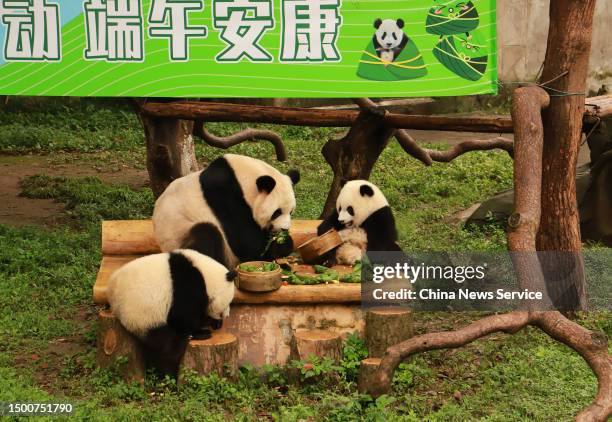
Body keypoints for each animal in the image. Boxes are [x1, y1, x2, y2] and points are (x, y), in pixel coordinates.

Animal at [107, 249, 237, 378]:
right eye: (229, 302)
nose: (226, 315)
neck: (206, 275)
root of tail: (113, 301)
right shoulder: (187, 285)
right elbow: (182, 317)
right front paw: (204, 327)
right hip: (143, 317)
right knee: (168, 346)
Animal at [153, 153, 302, 268]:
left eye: (291, 211)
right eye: (276, 212)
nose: (284, 229)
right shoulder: (226, 197)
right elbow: (247, 242)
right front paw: (281, 246)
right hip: (180, 236)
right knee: (205, 233)